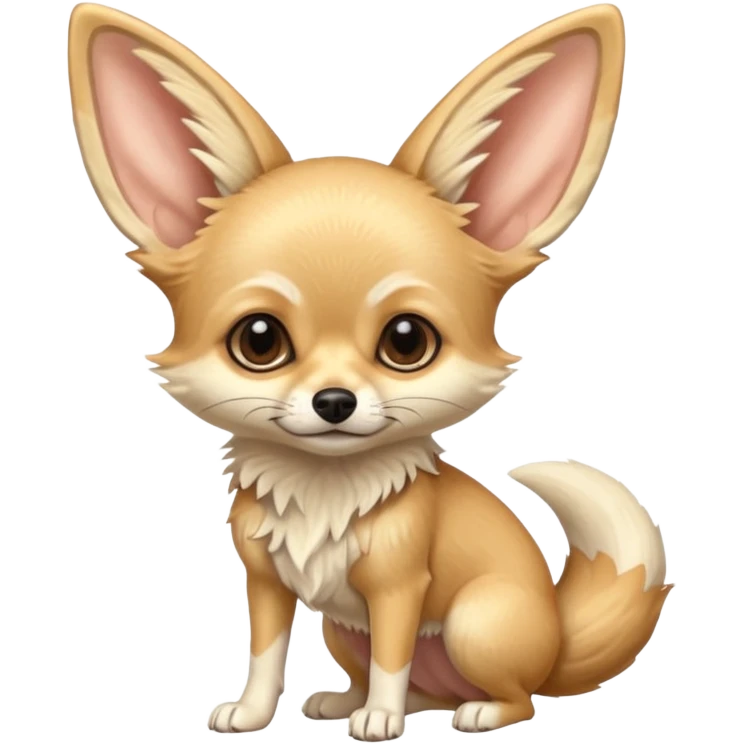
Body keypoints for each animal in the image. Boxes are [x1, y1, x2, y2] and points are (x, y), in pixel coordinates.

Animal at [66, 2, 672, 740]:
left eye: (407, 342)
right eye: (259, 341)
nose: (334, 401)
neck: (324, 493)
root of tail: (556, 640)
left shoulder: (398, 588)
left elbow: (392, 657)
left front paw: (380, 720)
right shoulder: (266, 582)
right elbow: (265, 655)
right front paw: (252, 713)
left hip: (474, 623)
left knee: (515, 696)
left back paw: (467, 711)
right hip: (340, 628)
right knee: (417, 685)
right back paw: (346, 702)